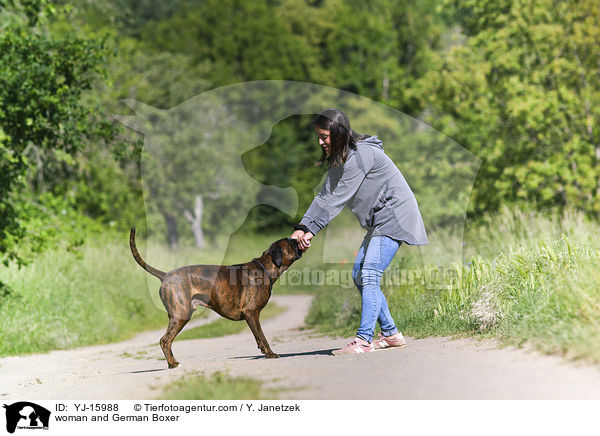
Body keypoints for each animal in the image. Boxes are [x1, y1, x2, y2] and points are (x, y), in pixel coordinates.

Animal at [129, 228, 302, 368]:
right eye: (290, 242)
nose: (297, 239)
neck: (264, 268)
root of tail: (165, 275)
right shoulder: (252, 313)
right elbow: (262, 336)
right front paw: (270, 354)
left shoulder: (252, 316)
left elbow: (258, 338)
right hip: (181, 316)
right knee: (165, 340)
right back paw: (172, 364)